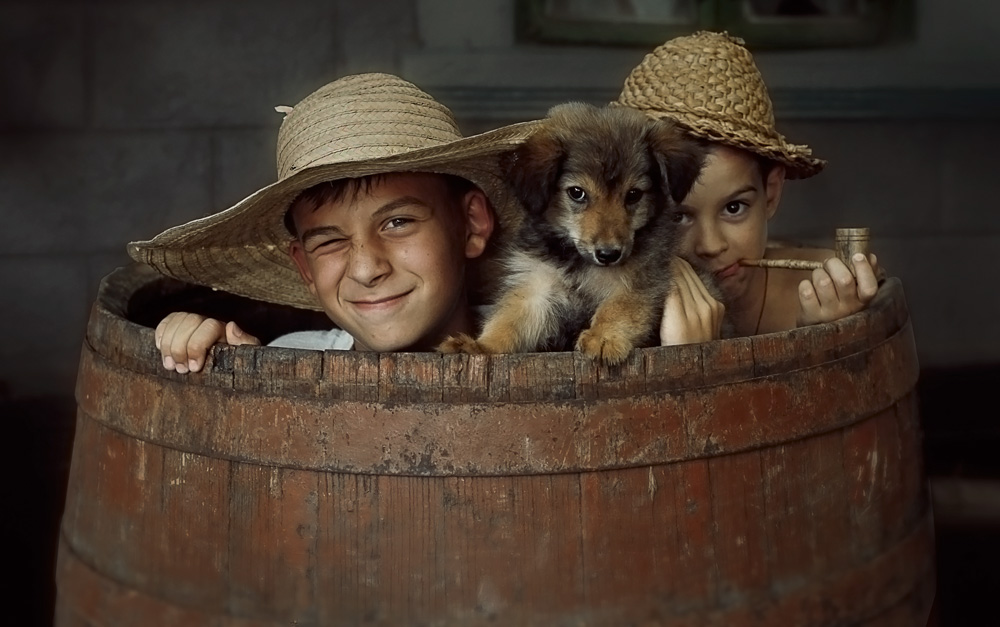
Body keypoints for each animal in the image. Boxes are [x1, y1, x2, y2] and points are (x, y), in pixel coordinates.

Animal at [442, 103, 708, 366]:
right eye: (577, 193)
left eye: (633, 195)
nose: (608, 254)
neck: (578, 262)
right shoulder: (536, 286)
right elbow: (509, 320)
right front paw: (480, 347)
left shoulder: (640, 280)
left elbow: (619, 308)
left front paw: (603, 337)